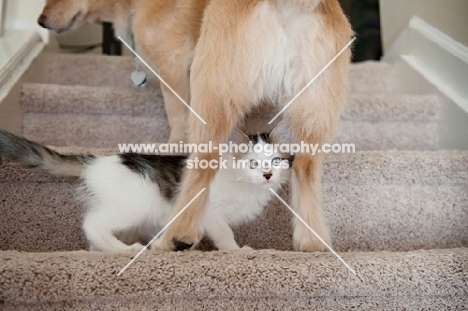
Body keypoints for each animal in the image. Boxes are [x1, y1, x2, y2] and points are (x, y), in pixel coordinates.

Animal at [0, 123, 292, 252]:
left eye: (276, 161)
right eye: (253, 163)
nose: (267, 175)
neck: (246, 187)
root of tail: (97, 161)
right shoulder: (210, 212)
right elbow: (224, 233)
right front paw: (236, 251)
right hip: (135, 205)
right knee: (92, 224)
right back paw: (122, 250)